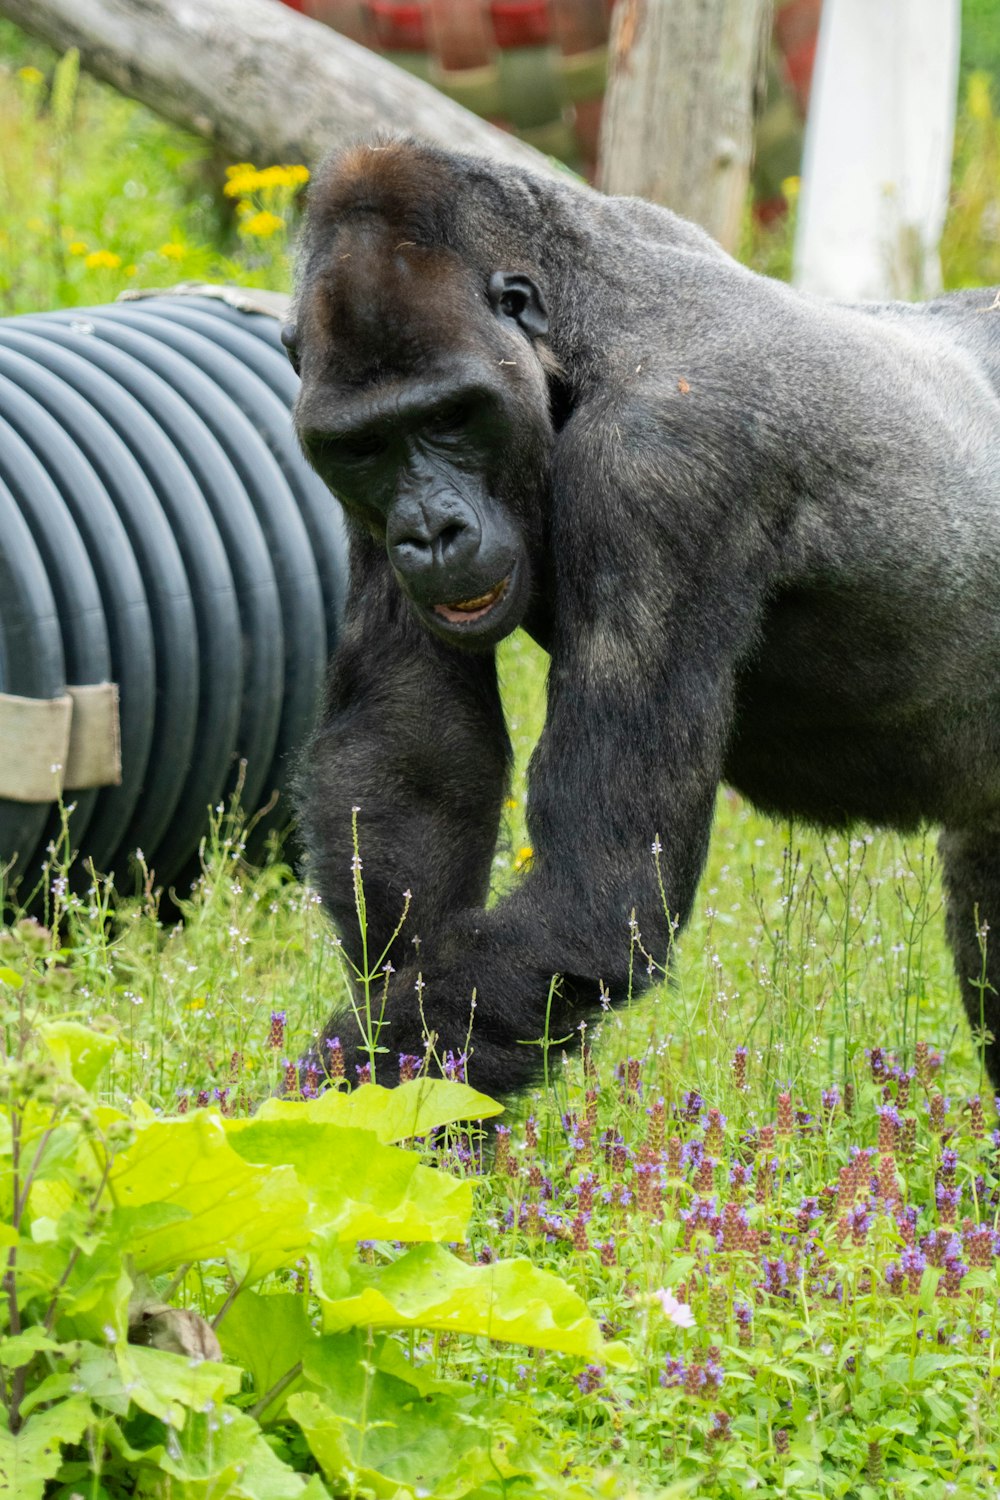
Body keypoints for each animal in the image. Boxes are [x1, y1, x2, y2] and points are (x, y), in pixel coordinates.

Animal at [281, 138, 1000, 1104]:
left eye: (451, 416)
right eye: (366, 446)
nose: (430, 532)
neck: (580, 325)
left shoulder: (657, 466)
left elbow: (597, 899)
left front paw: (331, 1100)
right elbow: (415, 766)